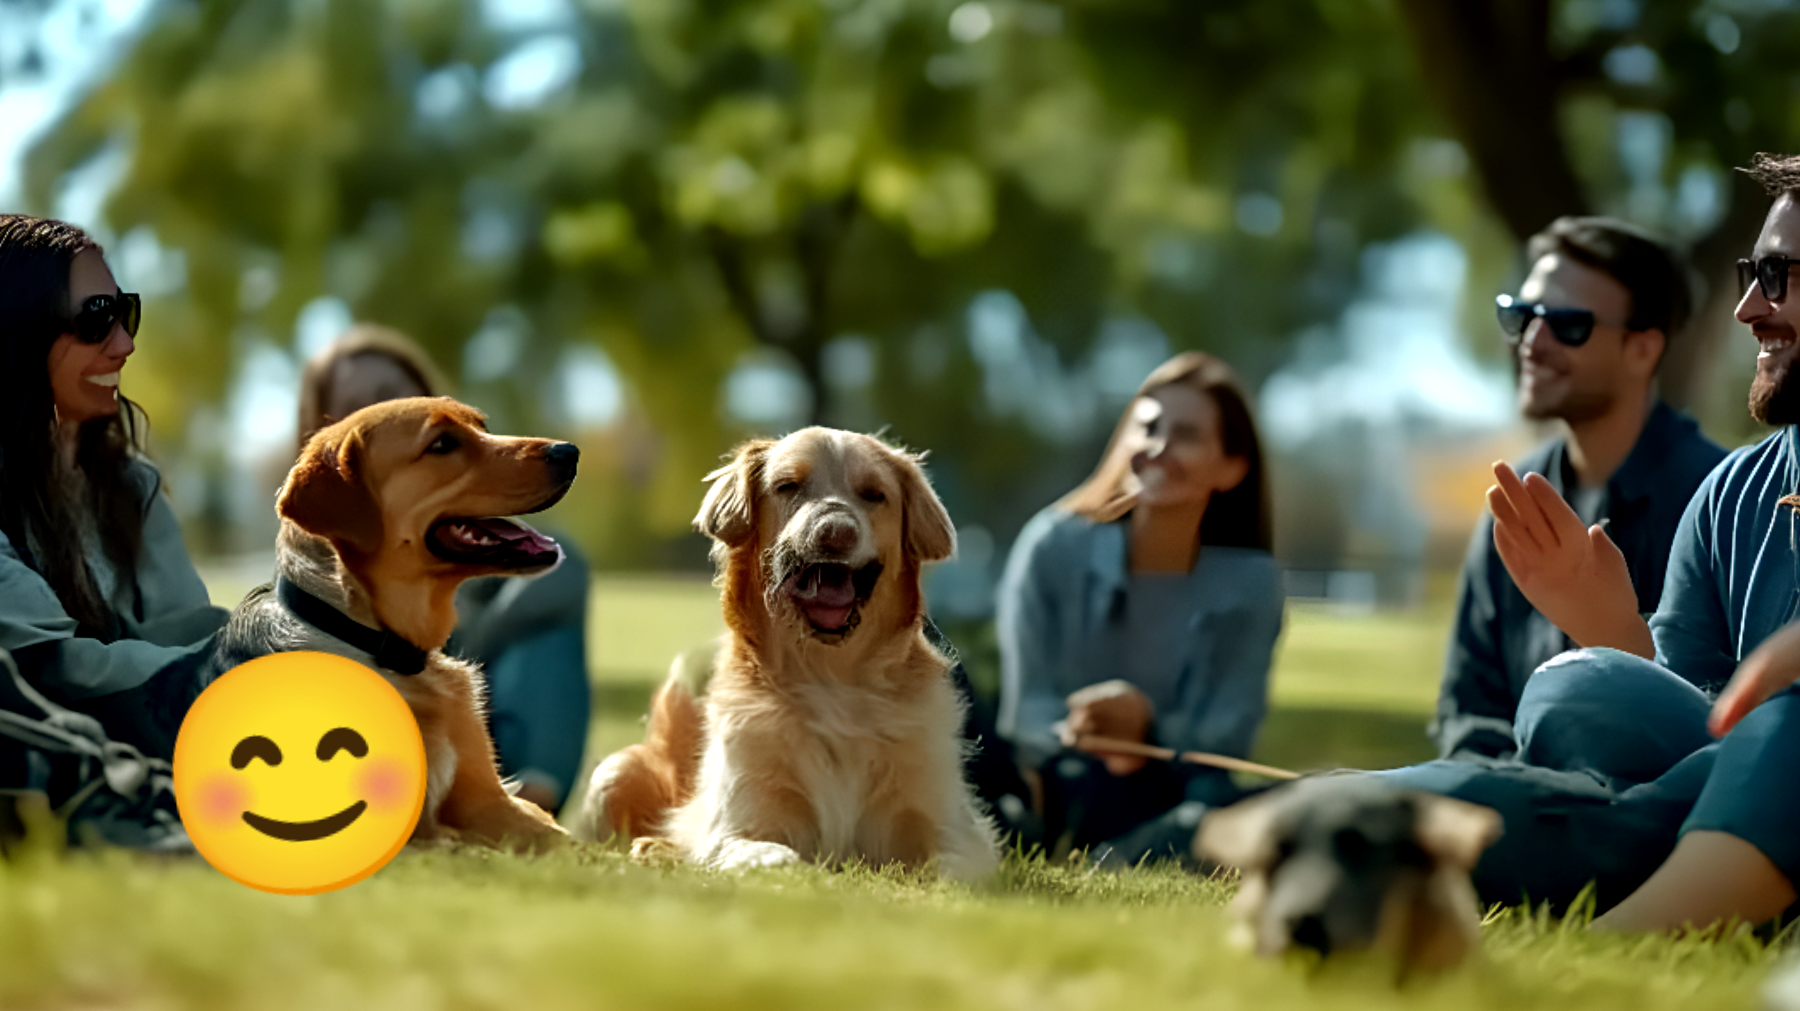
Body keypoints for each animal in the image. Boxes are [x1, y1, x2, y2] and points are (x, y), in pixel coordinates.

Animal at [211, 393, 579, 841]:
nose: (569, 451)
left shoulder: (491, 801)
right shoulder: (420, 834)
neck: (386, 644)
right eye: (442, 444)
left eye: (482, 426)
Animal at [576, 422, 1000, 874]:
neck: (833, 678)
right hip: (613, 772)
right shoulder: (734, 827)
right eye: (787, 486)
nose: (836, 532)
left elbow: (946, 868)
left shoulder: (952, 826)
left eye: (874, 494)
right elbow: (775, 856)